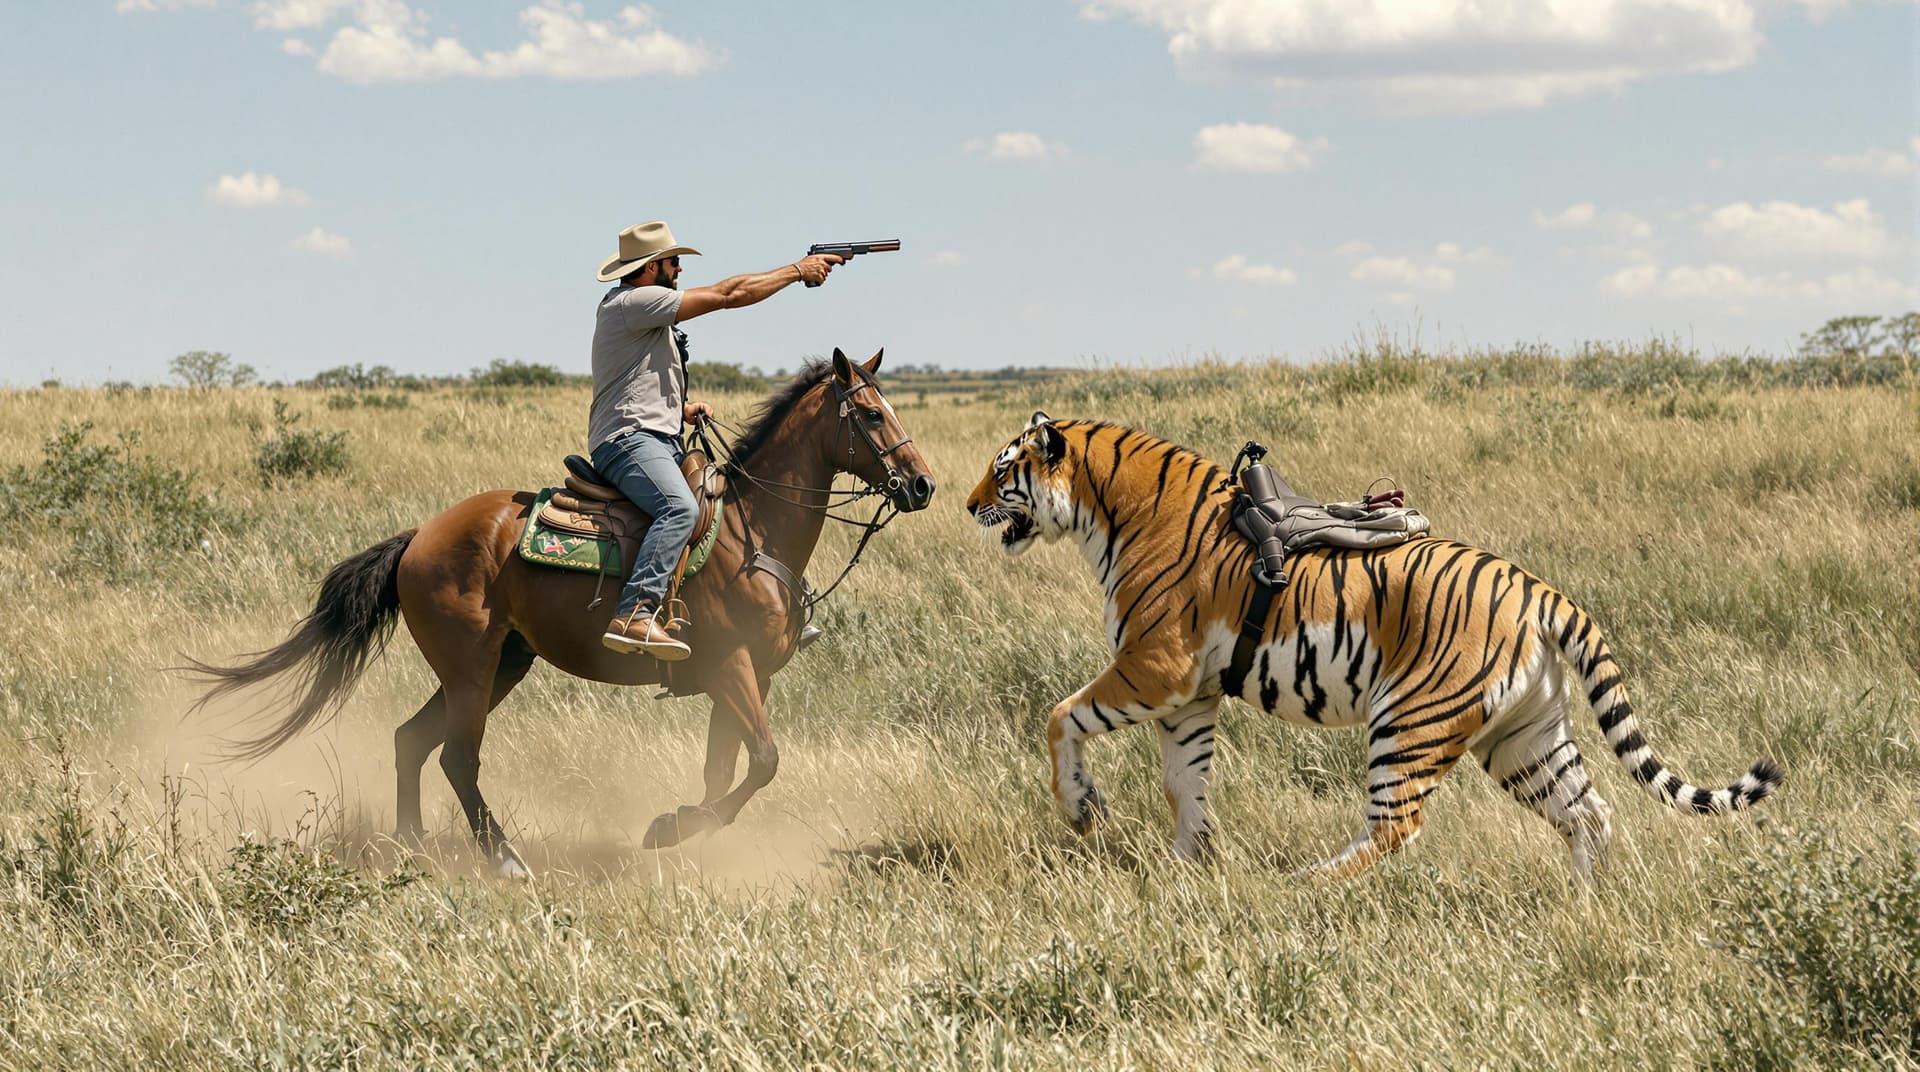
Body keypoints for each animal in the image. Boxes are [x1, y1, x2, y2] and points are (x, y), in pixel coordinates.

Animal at [186, 349, 935, 878]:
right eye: (871, 415)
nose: (922, 484)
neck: (754, 531)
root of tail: (420, 536)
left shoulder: (753, 678)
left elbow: (726, 771)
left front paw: (682, 826)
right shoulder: (732, 669)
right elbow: (765, 761)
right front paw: (669, 828)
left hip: (503, 664)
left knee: (410, 742)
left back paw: (416, 849)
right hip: (471, 666)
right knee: (457, 757)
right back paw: (504, 860)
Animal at [965, 412, 1783, 885]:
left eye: (1003, 471)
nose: (968, 504)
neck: (1108, 511)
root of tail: (1538, 588)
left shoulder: (1151, 669)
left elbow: (1059, 717)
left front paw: (1082, 810)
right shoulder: (1188, 694)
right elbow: (1184, 783)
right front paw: (1187, 867)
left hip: (1413, 719)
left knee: (1397, 827)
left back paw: (1301, 886)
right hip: (1523, 737)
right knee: (1590, 814)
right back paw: (1584, 910)